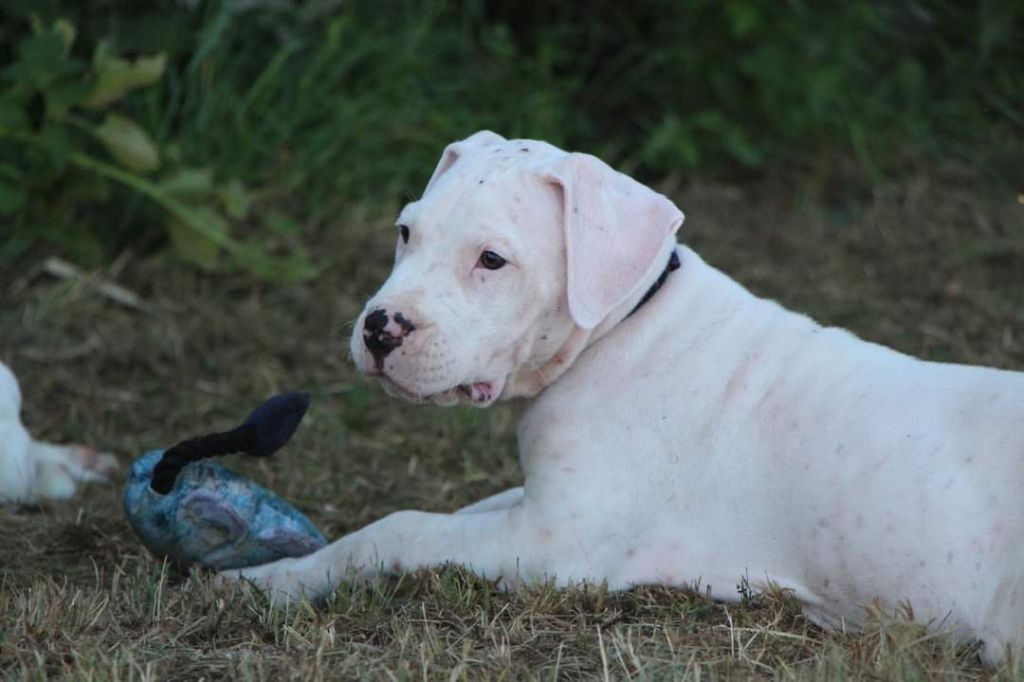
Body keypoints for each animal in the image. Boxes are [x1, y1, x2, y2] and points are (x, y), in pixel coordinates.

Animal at [223, 131, 1024, 664]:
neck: (623, 325)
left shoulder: (552, 546)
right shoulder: (536, 505)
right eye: (405, 233)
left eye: (492, 260)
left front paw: (269, 581)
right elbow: (442, 513)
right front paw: (272, 573)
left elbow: (398, 528)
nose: (379, 329)